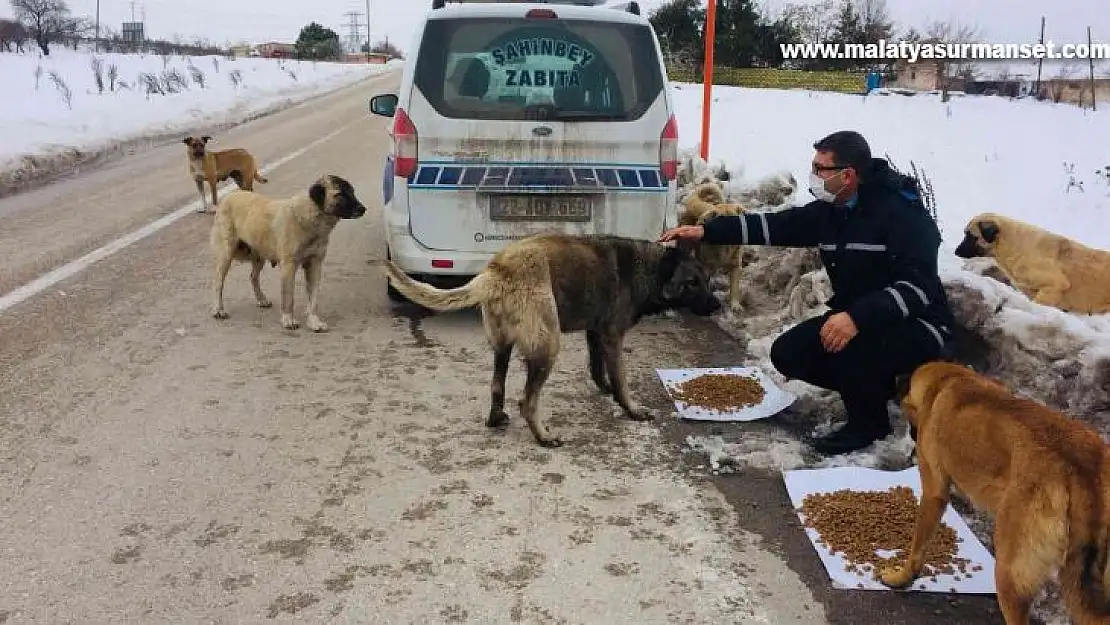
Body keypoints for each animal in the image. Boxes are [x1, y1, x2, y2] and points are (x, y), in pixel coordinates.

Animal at [381, 232, 723, 448]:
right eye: (692, 283)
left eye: (707, 279)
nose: (717, 305)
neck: (653, 268)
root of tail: (497, 270)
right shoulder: (612, 336)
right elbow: (622, 379)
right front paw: (630, 408)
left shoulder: (596, 334)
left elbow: (598, 369)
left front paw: (606, 389)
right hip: (548, 346)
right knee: (527, 401)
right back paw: (543, 437)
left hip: (503, 346)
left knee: (497, 385)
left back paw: (496, 418)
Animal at [674, 180, 745, 313]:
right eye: (721, 221)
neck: (725, 247)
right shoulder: (705, 266)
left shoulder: (735, 266)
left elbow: (734, 288)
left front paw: (735, 305)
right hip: (685, 245)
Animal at [883, 359, 1110, 621]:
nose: (895, 378)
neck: (947, 380)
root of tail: (1083, 470)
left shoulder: (933, 492)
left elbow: (917, 548)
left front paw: (901, 578)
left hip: (1009, 572)